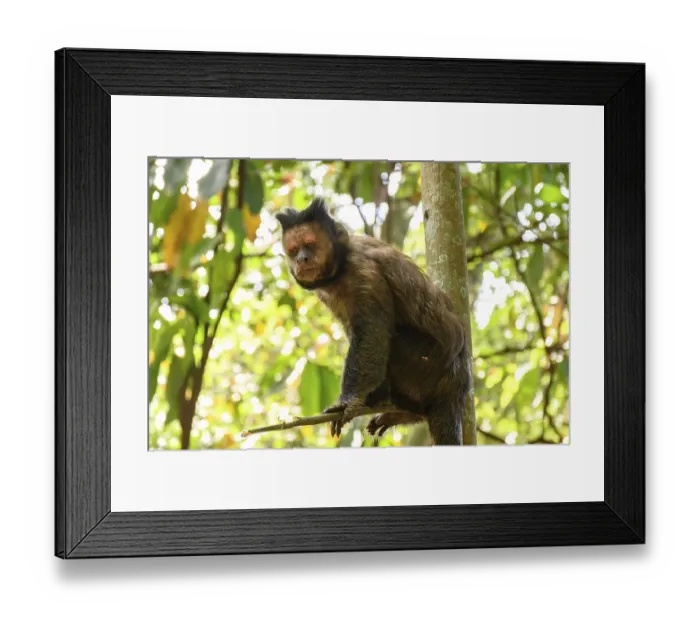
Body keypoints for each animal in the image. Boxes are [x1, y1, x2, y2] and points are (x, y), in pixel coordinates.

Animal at [275, 198, 470, 446]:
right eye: (293, 250)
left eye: (309, 244)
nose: (302, 258)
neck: (341, 269)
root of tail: (458, 386)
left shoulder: (364, 272)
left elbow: (372, 335)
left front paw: (347, 401)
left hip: (428, 366)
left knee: (393, 341)